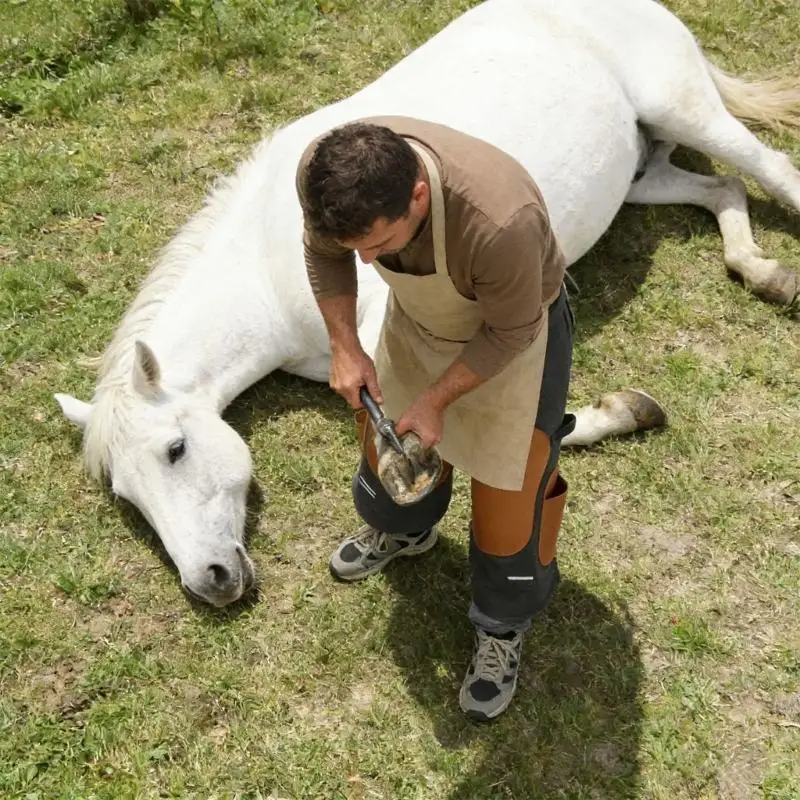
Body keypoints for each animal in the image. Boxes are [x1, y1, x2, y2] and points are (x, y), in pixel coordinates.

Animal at [55, 0, 800, 607]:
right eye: (127, 496)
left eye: (177, 450)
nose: (209, 582)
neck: (269, 264)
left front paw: (617, 412)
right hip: (642, 173)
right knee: (725, 190)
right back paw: (763, 272)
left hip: (687, 112)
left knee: (771, 170)